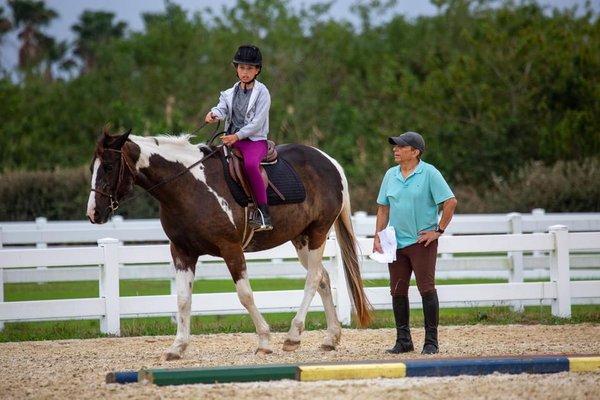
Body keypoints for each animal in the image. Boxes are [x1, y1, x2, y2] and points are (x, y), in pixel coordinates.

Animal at [86, 128, 372, 360]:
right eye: (93, 167)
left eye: (108, 167)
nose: (94, 213)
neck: (188, 187)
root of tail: (329, 161)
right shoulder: (182, 252)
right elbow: (182, 299)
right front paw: (177, 347)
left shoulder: (230, 249)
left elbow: (245, 295)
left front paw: (264, 341)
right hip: (300, 238)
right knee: (323, 278)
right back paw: (330, 338)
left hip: (317, 233)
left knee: (313, 279)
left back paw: (292, 336)